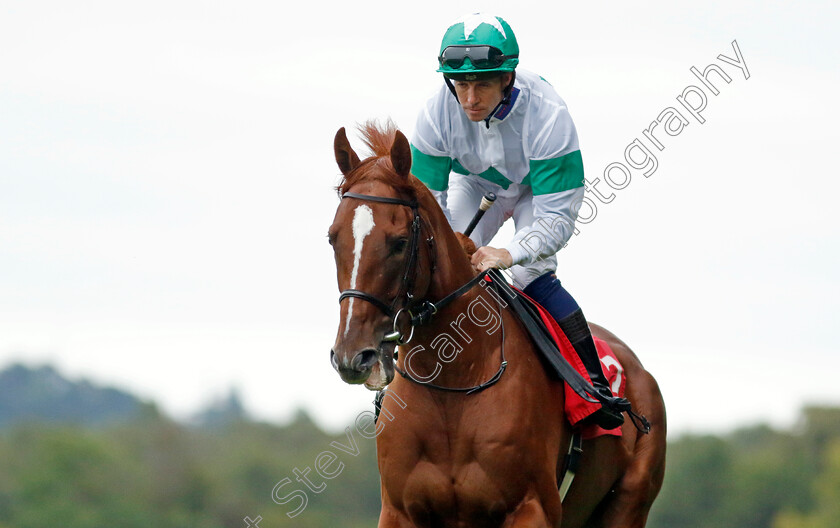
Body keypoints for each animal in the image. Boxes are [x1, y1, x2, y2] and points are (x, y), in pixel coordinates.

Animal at [328, 121, 668, 524]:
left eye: (398, 242)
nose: (352, 355)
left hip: (630, 502)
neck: (451, 386)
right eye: (332, 238)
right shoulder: (399, 512)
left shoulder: (531, 507)